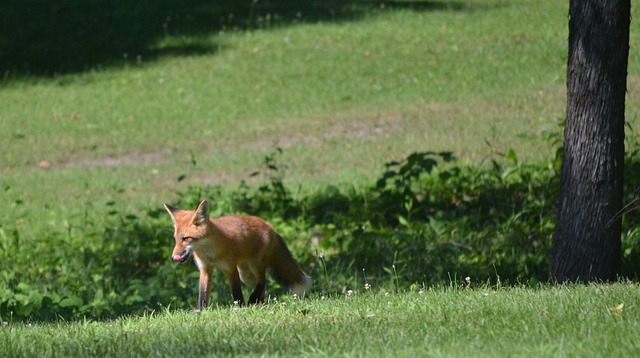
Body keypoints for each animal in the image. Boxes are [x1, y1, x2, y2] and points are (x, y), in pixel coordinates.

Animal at [164, 199, 312, 310]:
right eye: (176, 239)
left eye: (186, 238)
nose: (173, 257)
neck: (210, 253)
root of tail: (270, 227)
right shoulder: (205, 269)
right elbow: (202, 295)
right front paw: (201, 312)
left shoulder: (230, 268)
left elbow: (236, 293)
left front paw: (239, 307)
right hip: (245, 275)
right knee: (262, 286)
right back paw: (259, 304)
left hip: (254, 265)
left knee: (263, 281)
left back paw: (253, 301)